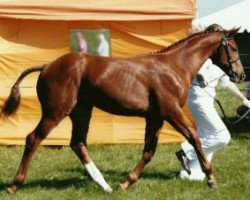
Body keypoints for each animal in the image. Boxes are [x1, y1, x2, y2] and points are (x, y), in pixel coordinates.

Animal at [0, 28, 244, 194]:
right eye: (233, 47)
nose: (240, 75)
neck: (174, 66)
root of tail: (47, 65)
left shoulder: (155, 117)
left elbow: (149, 151)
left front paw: (126, 182)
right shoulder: (171, 112)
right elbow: (194, 137)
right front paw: (211, 178)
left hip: (81, 111)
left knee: (78, 143)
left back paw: (105, 186)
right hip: (56, 111)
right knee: (34, 138)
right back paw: (15, 185)